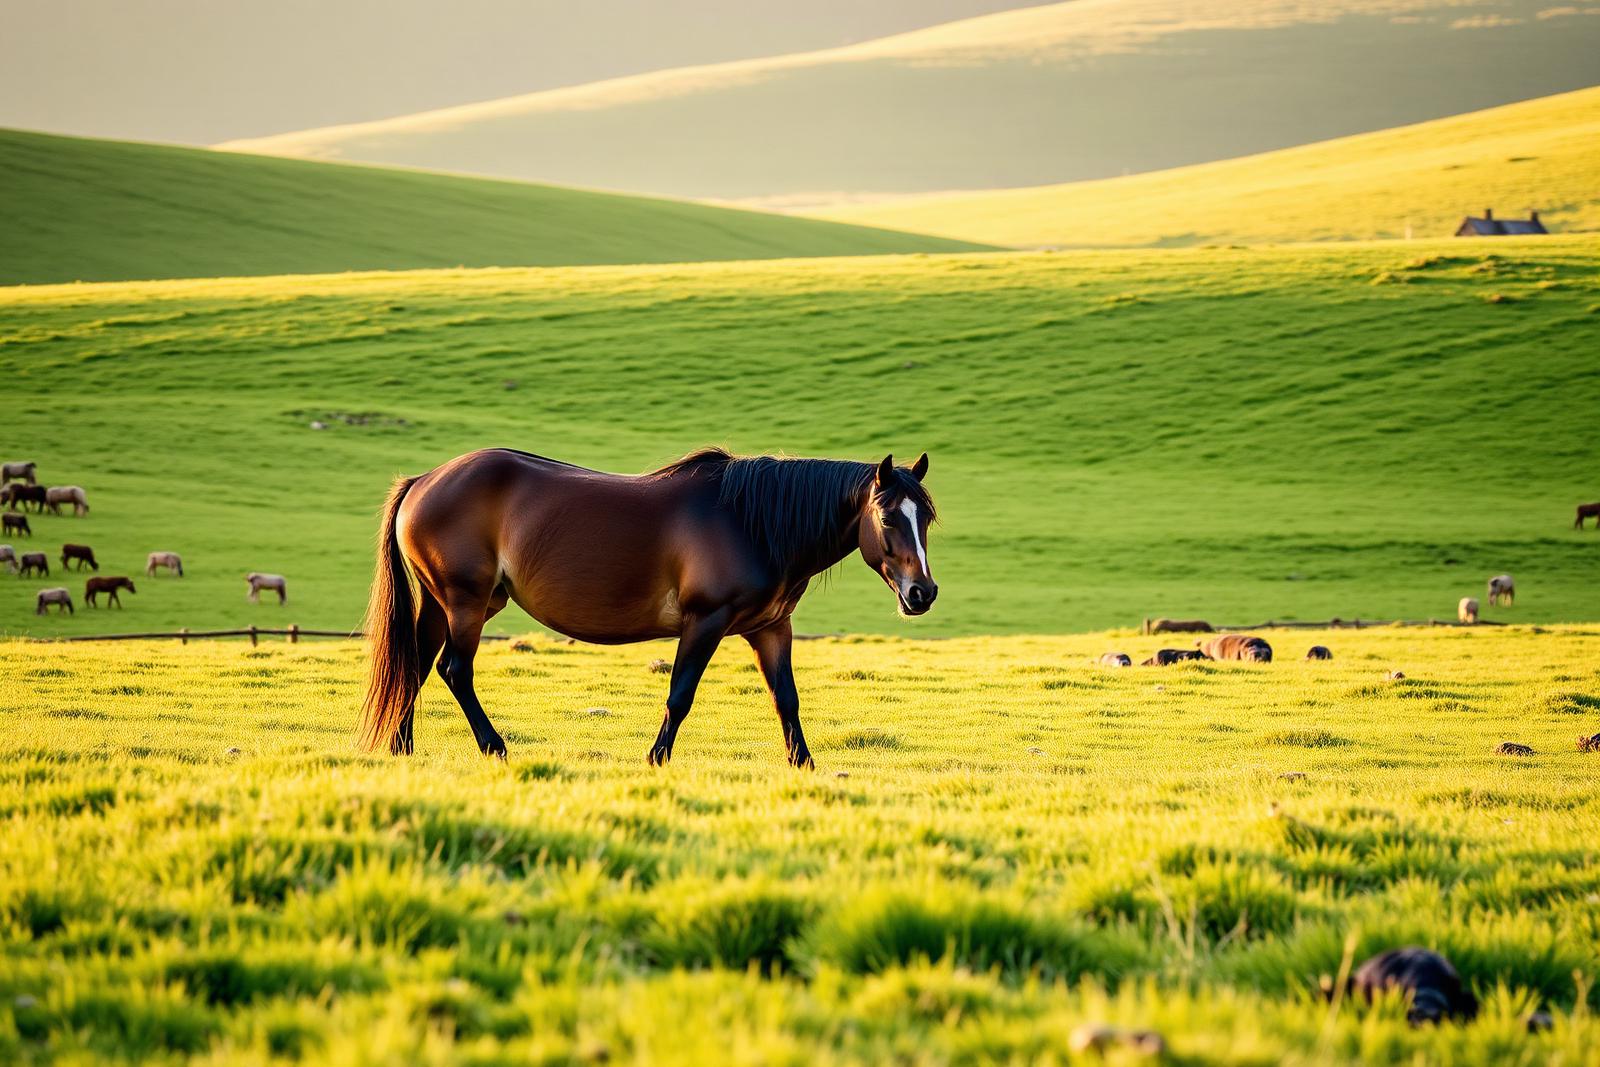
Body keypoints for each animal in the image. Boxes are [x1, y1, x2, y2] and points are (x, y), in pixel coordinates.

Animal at [361, 448, 937, 766]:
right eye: (888, 518)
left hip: (442, 603)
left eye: (926, 518)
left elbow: (786, 701)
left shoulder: (772, 628)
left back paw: (401, 748)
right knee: (454, 670)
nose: (922, 593)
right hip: (467, 602)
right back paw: (494, 746)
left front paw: (805, 766)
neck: (750, 523)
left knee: (414, 666)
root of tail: (422, 482)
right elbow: (679, 696)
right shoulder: (705, 622)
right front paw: (656, 758)